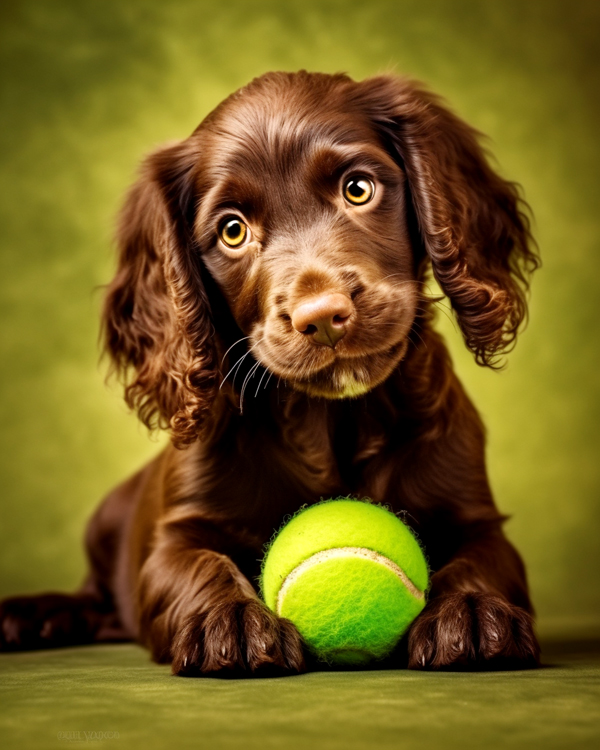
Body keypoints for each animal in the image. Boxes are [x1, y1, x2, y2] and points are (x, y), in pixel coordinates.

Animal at [0, 73, 540, 680]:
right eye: (232, 231)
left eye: (358, 189)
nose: (322, 318)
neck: (330, 419)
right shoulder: (175, 535)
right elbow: (199, 565)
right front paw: (230, 622)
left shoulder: (479, 519)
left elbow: (481, 561)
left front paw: (472, 610)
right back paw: (35, 613)